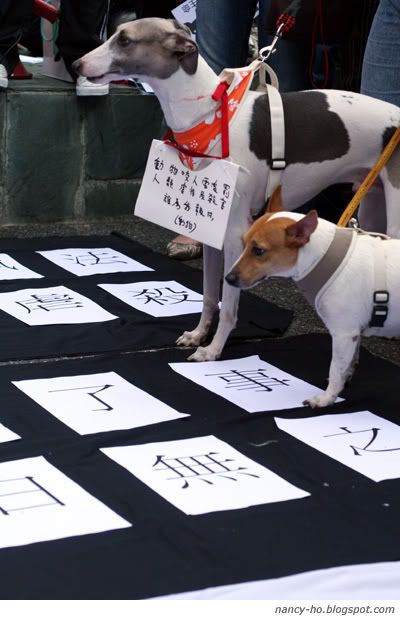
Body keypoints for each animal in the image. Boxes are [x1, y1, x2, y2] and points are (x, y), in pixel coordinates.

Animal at [73, 19, 400, 364]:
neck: (210, 117)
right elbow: (208, 295)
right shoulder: (210, 232)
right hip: (373, 202)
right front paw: (198, 334)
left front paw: (213, 349)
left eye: (124, 40)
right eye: (115, 33)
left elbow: (229, 303)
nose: (76, 64)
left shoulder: (234, 236)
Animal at [225, 191, 400, 410]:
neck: (324, 257)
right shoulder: (353, 332)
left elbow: (336, 369)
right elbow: (349, 362)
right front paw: (345, 379)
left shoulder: (343, 334)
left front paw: (327, 398)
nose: (228, 278)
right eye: (244, 242)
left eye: (258, 251)